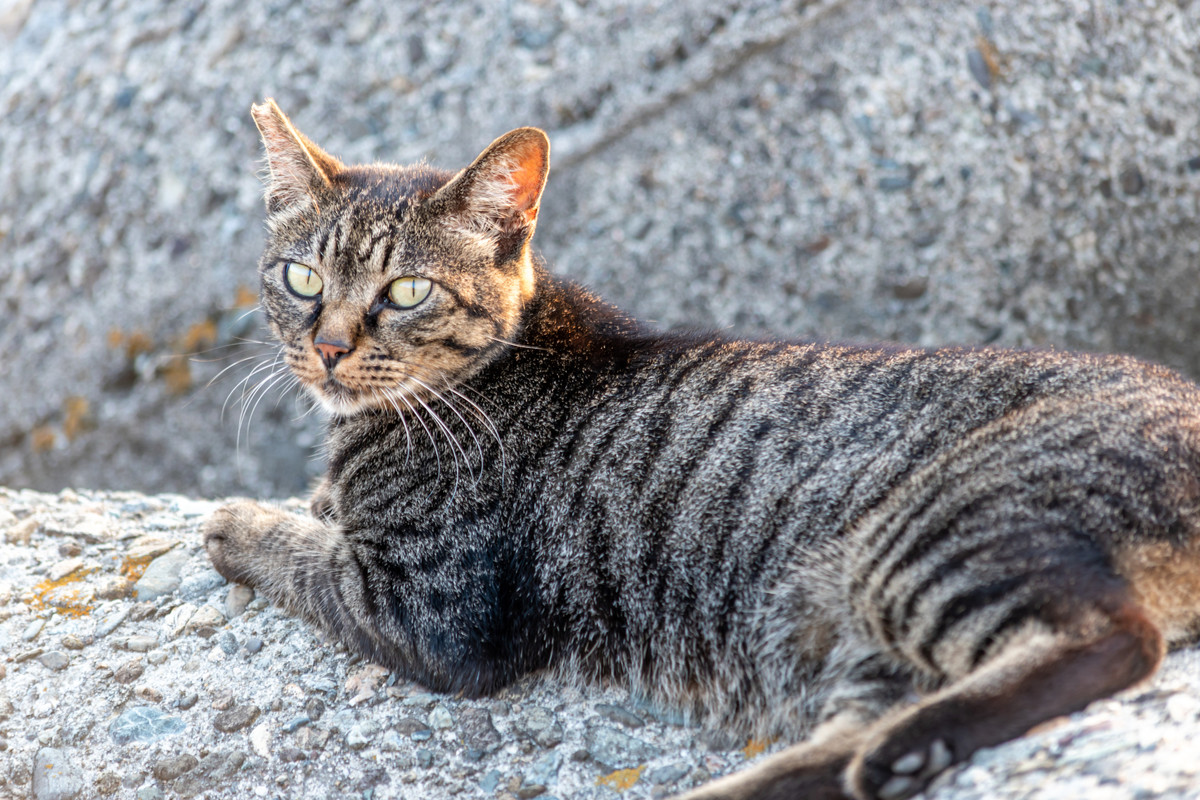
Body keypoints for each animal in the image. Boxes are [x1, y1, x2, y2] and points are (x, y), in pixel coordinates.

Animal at [201, 100, 1200, 800]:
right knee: (843, 747)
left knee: (1115, 636)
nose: (329, 345)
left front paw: (240, 521)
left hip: (931, 535)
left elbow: (303, 556)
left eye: (406, 292)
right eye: (301, 279)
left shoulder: (432, 607)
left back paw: (918, 745)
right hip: (865, 631)